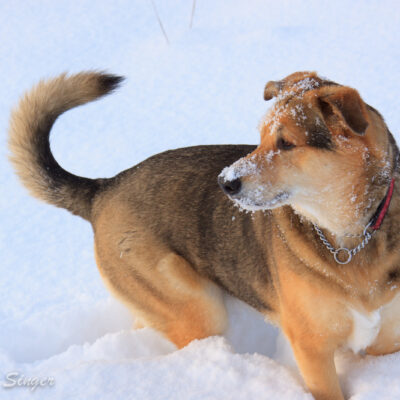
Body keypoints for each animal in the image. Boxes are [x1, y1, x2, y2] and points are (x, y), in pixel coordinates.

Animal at [7, 71, 400, 400]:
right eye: (259, 139)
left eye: (287, 143)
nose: (225, 182)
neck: (350, 237)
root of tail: (103, 189)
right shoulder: (312, 347)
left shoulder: (386, 341)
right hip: (194, 308)